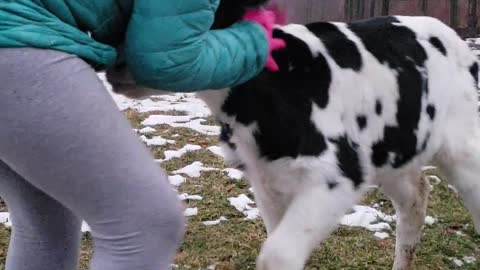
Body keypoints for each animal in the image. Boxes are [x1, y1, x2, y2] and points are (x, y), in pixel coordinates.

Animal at [196, 4, 480, 270]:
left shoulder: (337, 173)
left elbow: (277, 253)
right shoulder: (266, 179)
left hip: (461, 149)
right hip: (392, 152)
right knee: (416, 194)